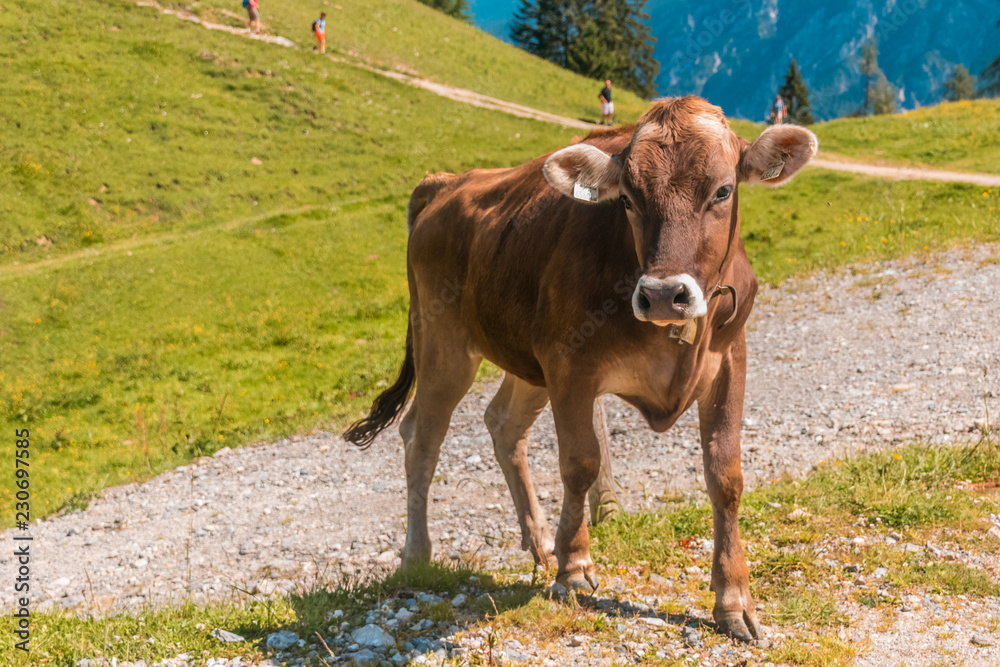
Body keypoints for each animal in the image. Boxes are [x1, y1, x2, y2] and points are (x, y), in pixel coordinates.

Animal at [344, 96, 817, 642]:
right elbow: (580, 463)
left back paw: (540, 544)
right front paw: (573, 570)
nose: (663, 295)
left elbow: (725, 476)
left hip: (526, 359)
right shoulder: (570, 365)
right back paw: (418, 556)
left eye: (723, 190)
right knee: (421, 436)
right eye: (628, 199)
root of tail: (446, 183)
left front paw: (734, 600)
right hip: (444, 343)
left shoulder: (728, 361)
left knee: (503, 425)